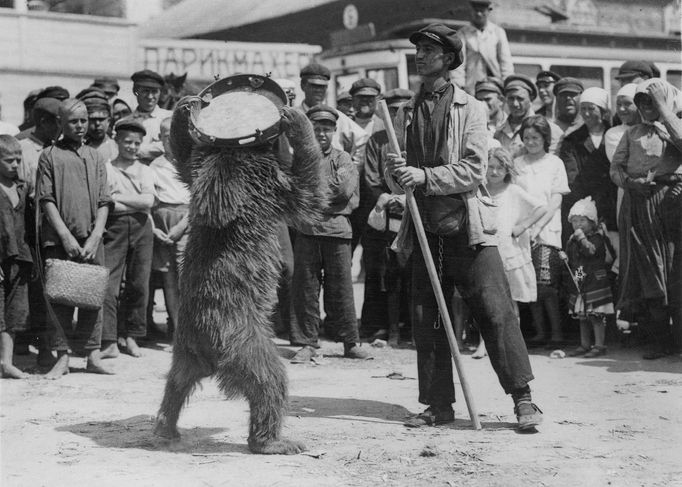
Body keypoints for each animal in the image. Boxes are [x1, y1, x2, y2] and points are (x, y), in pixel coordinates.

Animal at [155, 92, 320, 458]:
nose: (293, 100)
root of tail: (208, 354)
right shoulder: (274, 188)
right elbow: (309, 192)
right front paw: (296, 120)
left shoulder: (206, 172)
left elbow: (185, 162)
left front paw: (184, 110)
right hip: (244, 341)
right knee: (269, 380)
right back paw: (275, 441)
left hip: (185, 344)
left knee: (176, 383)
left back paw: (165, 428)